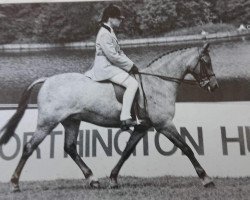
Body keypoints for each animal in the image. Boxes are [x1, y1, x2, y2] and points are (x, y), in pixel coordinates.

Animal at [0, 43, 219, 191]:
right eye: (206, 62)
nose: (214, 86)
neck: (158, 83)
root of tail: (46, 80)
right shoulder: (164, 124)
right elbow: (186, 148)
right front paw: (206, 179)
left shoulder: (142, 127)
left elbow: (127, 151)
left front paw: (113, 179)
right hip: (47, 123)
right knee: (29, 147)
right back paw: (14, 183)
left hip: (72, 121)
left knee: (70, 148)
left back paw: (93, 179)